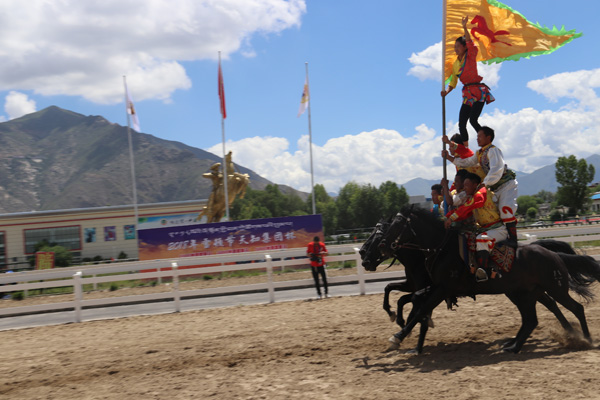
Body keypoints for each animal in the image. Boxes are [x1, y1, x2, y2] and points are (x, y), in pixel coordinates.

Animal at [366, 206, 600, 354]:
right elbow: (408, 300)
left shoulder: (441, 288)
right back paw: (516, 345)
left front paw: (399, 337)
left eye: (397, 225)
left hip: (554, 288)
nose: (370, 253)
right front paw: (405, 332)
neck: (442, 249)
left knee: (575, 308)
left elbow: (419, 310)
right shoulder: (432, 288)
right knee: (533, 318)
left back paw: (585, 339)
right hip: (525, 293)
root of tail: (553, 255)